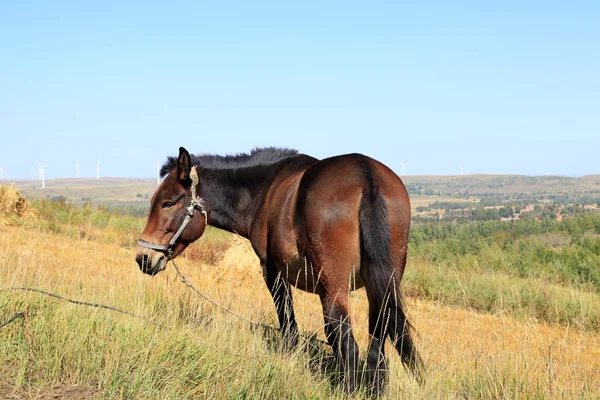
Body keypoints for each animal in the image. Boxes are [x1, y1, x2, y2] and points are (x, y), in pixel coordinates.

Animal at [135, 146, 422, 394]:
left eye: (168, 203)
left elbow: (290, 325)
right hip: (380, 287)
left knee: (346, 340)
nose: (143, 258)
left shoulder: (274, 272)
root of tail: (366, 175)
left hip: (336, 288)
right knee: (377, 342)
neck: (265, 189)